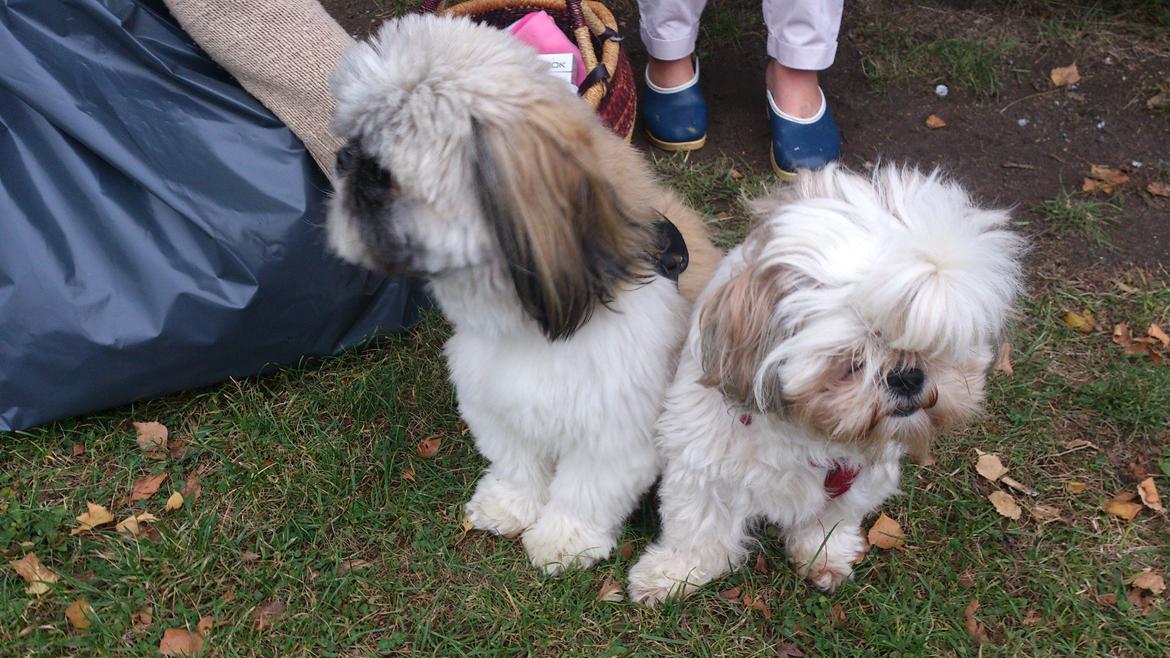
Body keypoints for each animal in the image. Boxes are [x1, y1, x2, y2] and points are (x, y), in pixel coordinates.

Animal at [627, 163, 1020, 604]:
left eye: (936, 344)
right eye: (854, 358)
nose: (908, 376)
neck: (807, 431)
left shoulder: (857, 480)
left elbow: (830, 520)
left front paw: (824, 555)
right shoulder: (703, 462)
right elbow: (697, 528)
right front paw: (673, 572)